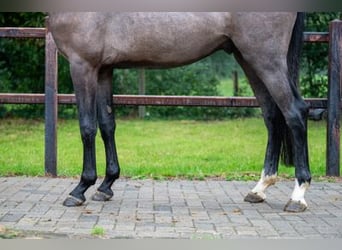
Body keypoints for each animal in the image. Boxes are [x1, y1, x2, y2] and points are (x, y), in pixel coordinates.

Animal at [48, 12, 310, 212]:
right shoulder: (103, 69)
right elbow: (106, 125)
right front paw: (106, 185)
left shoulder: (82, 65)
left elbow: (87, 128)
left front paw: (80, 188)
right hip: (248, 59)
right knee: (272, 117)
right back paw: (260, 189)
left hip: (266, 59)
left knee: (295, 112)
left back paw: (298, 196)